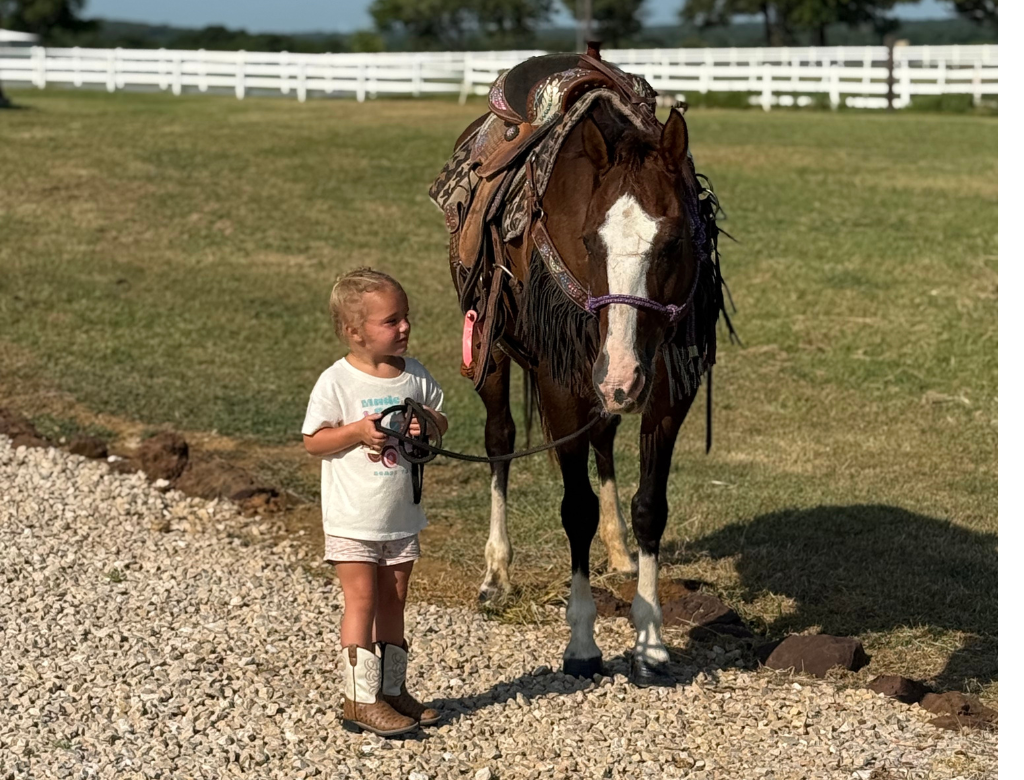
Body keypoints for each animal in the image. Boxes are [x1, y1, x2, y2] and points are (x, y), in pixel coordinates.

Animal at [431, 50, 731, 685]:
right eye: (591, 242)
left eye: (672, 243)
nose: (621, 376)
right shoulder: (561, 382)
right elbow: (576, 509)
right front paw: (583, 643)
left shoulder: (668, 387)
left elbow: (650, 507)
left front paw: (651, 642)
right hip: (493, 350)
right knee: (500, 441)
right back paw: (497, 574)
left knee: (604, 439)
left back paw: (618, 553)